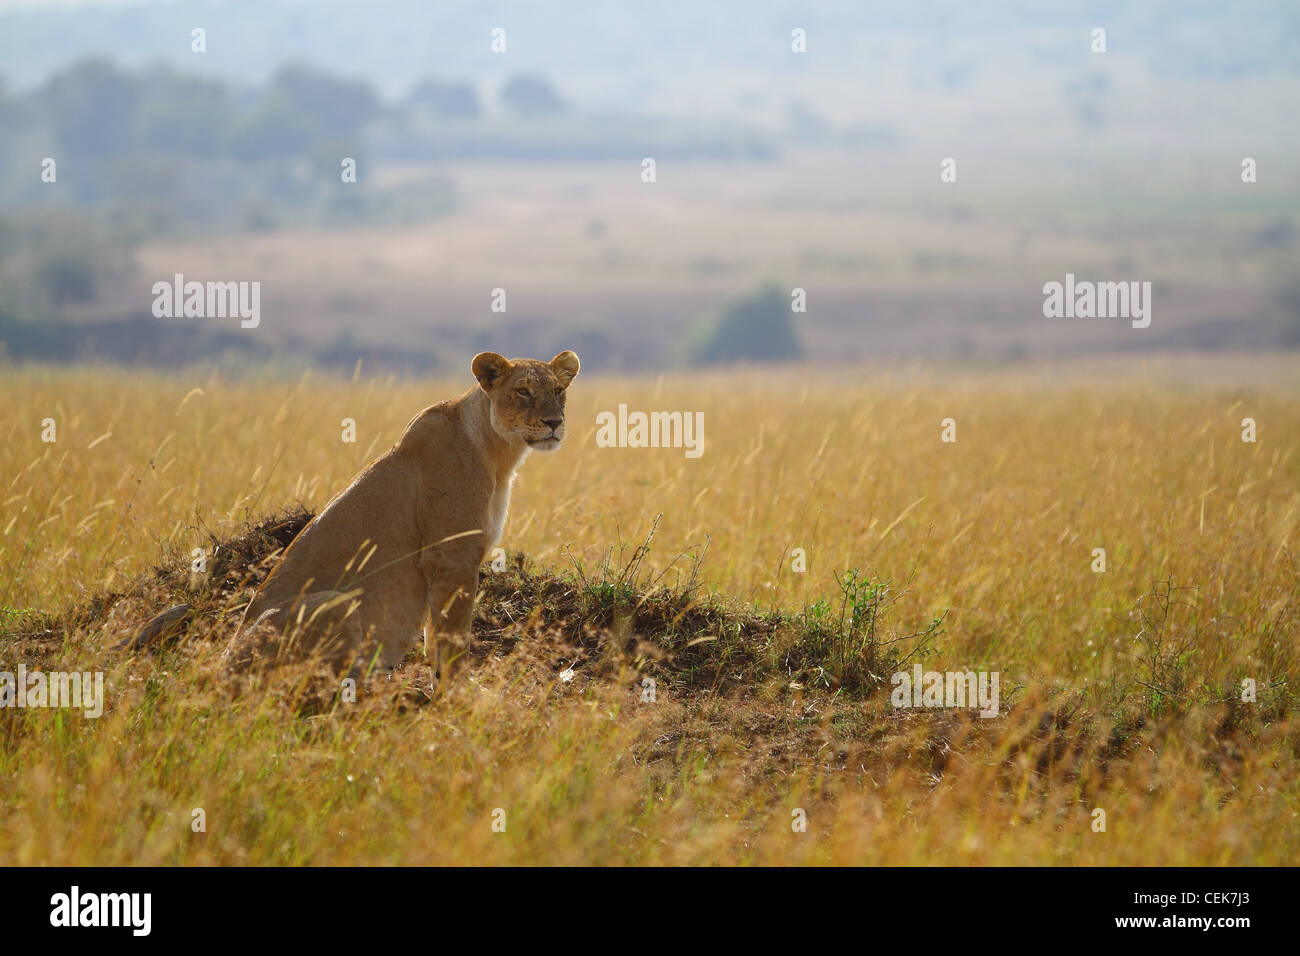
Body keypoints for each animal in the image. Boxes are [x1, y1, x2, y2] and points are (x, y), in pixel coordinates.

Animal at [211, 349, 578, 680]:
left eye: (558, 390)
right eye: (523, 391)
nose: (555, 423)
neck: (500, 454)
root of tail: (220, 672)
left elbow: (435, 642)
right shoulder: (452, 558)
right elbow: (454, 641)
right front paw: (460, 697)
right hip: (336, 603)